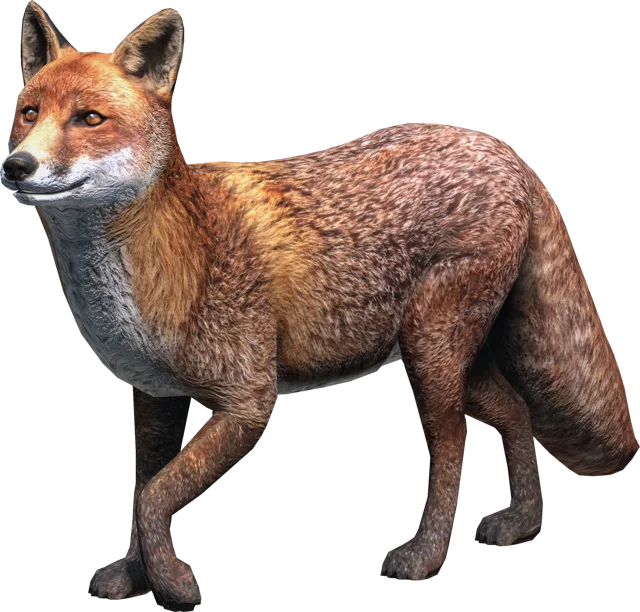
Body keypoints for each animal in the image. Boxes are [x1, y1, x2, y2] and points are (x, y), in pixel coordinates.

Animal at [2, 1, 636, 603]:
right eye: (29, 112)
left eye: (89, 119)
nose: (17, 165)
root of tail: (502, 148)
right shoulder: (152, 397)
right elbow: (139, 493)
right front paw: (135, 577)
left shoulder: (248, 401)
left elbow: (154, 498)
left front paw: (175, 586)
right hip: (456, 357)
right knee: (517, 411)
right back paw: (523, 523)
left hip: (430, 353)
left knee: (451, 444)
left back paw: (424, 557)